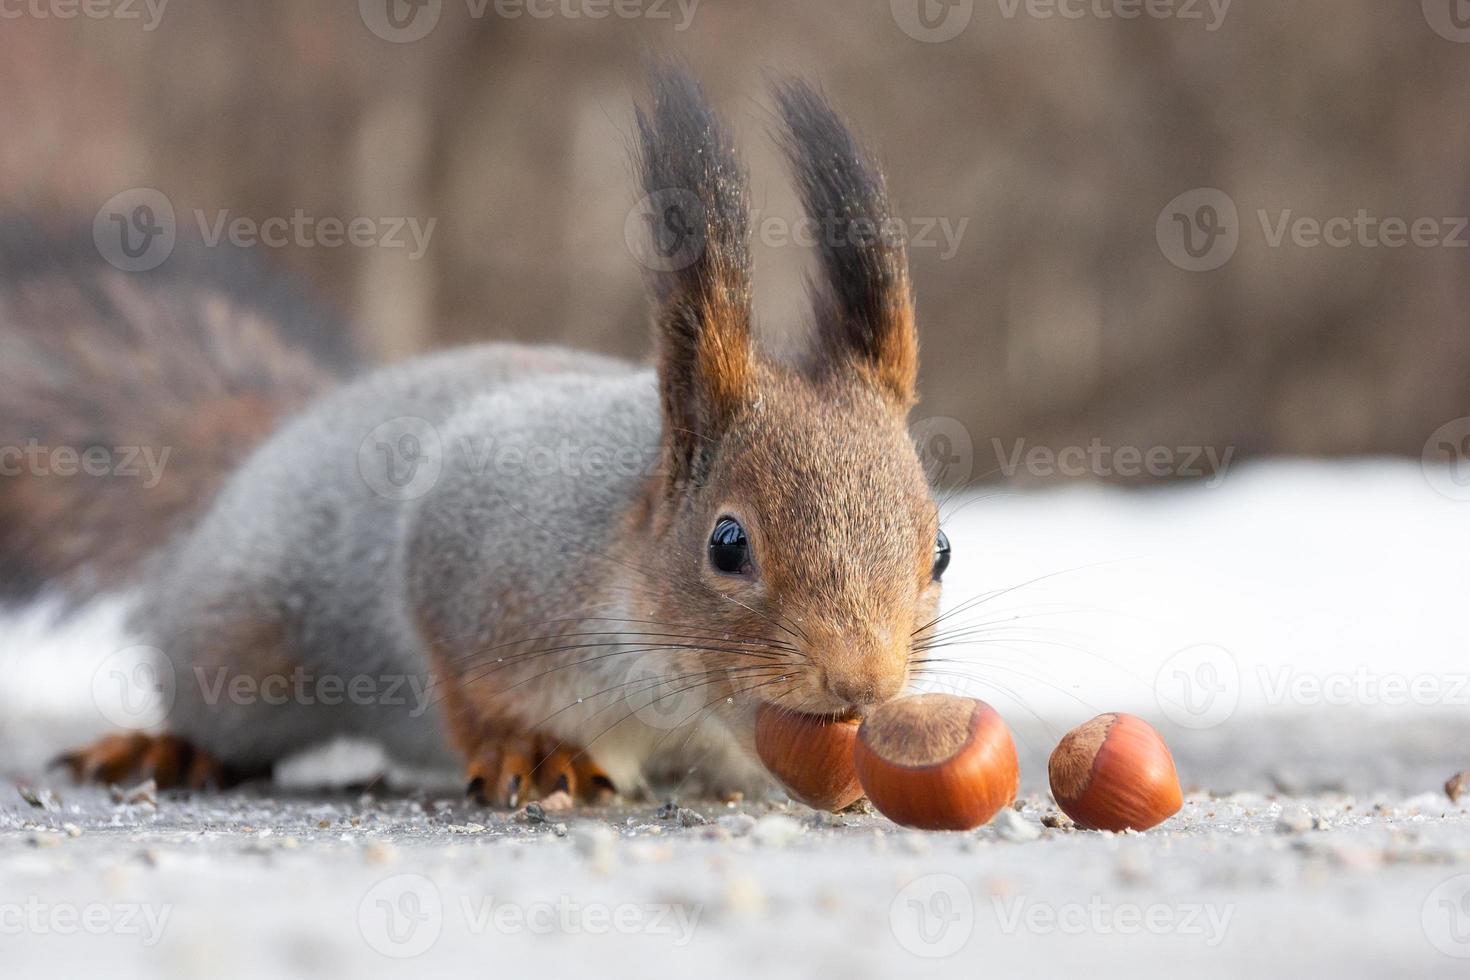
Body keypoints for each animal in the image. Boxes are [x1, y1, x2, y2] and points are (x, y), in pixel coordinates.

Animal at [0, 67, 946, 805]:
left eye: (940, 553)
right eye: (726, 543)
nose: (861, 685)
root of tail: (286, 431)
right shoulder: (473, 540)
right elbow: (461, 677)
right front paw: (525, 748)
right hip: (234, 647)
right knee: (215, 709)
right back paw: (168, 747)